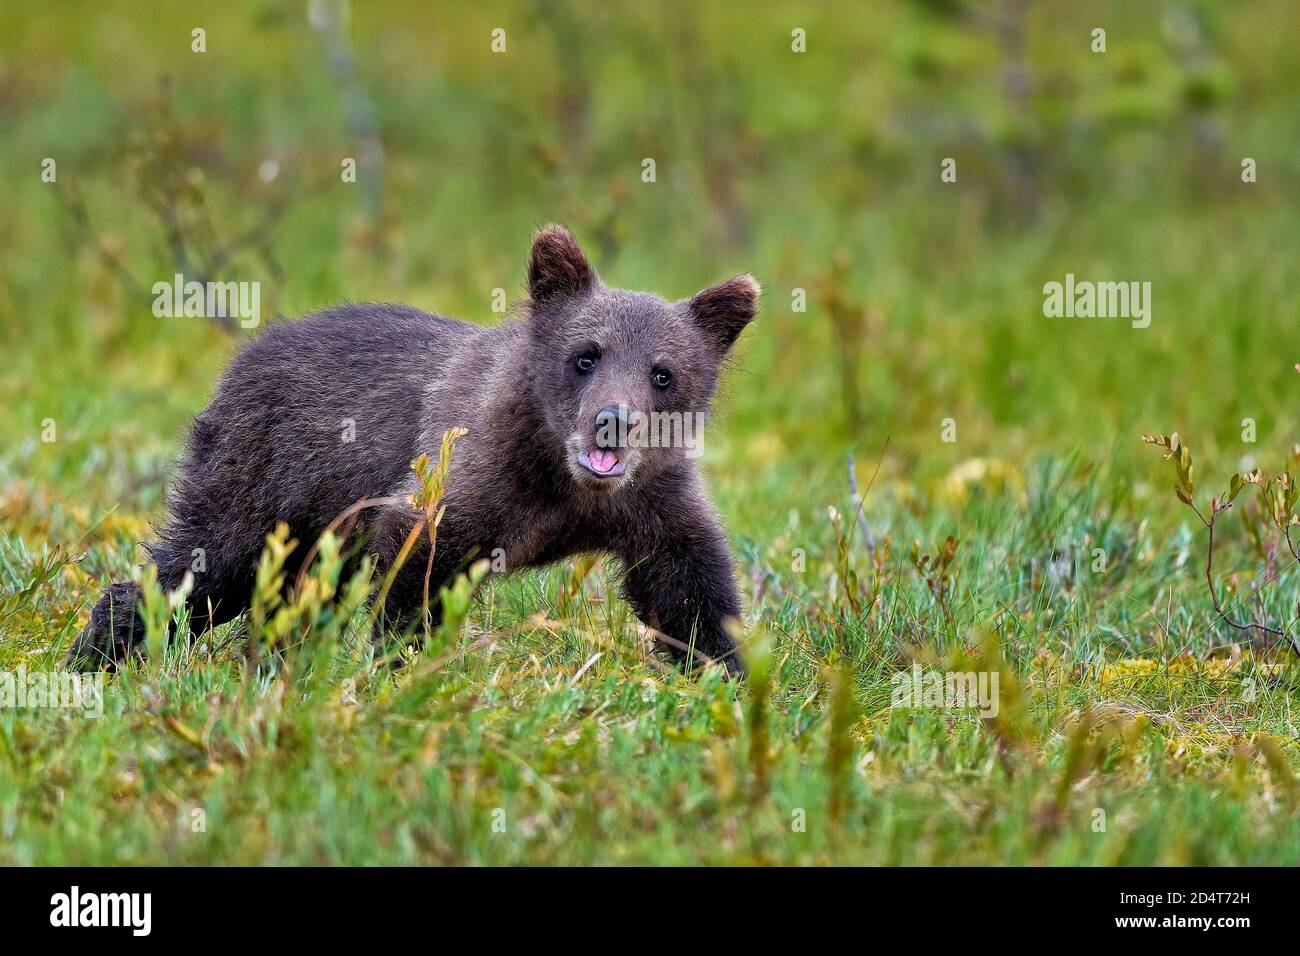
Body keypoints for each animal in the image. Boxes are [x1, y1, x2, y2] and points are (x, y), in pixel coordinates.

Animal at [68, 225, 759, 677]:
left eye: (663, 373)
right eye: (585, 355)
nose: (612, 422)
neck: (563, 486)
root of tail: (244, 356)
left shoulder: (650, 500)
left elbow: (688, 587)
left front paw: (725, 671)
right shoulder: (465, 476)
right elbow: (417, 561)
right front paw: (399, 664)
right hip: (269, 474)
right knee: (210, 562)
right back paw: (97, 652)